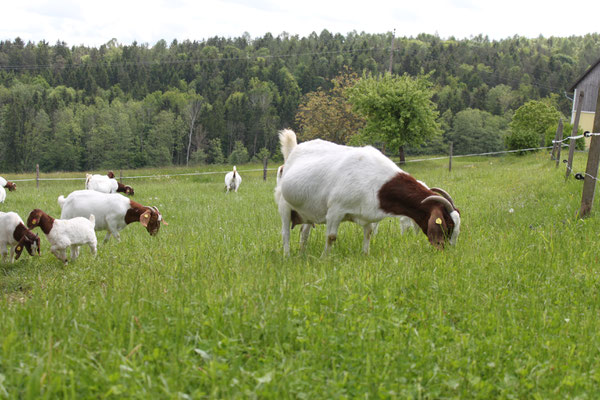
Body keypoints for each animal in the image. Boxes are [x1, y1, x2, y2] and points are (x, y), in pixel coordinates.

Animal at [274, 131, 462, 256]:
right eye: (447, 225)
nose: (446, 250)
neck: (378, 182)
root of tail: (291, 153)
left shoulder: (367, 213)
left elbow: (368, 233)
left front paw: (365, 255)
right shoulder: (335, 210)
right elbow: (331, 237)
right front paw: (325, 258)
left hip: (308, 211)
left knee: (304, 232)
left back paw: (302, 254)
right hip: (284, 205)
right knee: (285, 233)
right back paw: (288, 256)